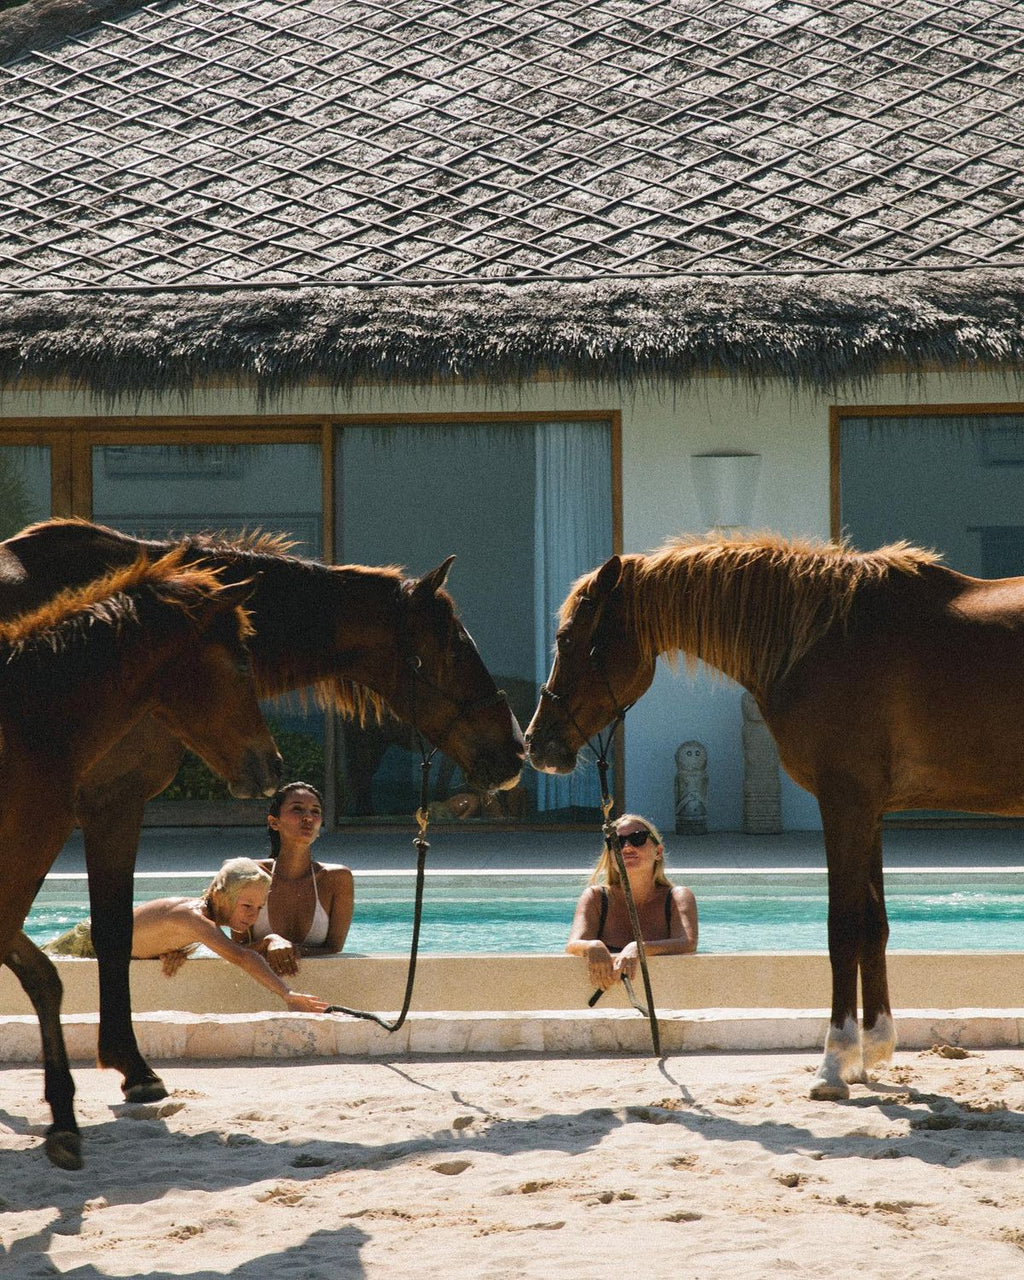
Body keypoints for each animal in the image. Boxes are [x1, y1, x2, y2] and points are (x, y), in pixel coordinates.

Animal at [523, 531, 1024, 1100]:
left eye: (566, 639)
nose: (536, 743)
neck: (822, 640)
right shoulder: (869, 811)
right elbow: (873, 925)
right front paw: (871, 1051)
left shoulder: (845, 803)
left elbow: (843, 929)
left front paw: (833, 1064)